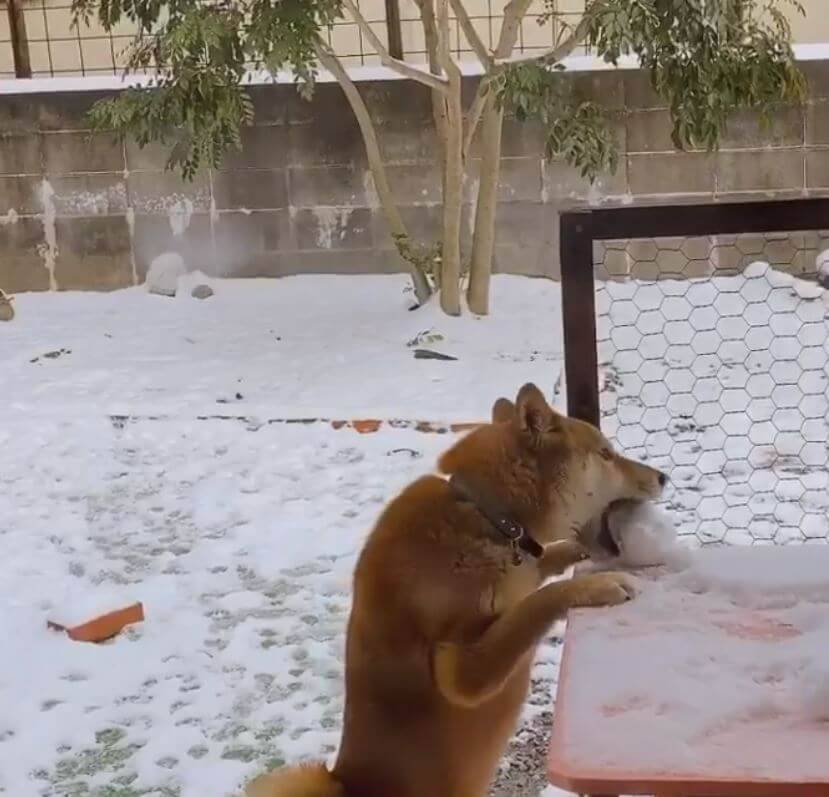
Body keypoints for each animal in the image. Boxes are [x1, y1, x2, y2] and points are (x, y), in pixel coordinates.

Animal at [247, 382, 668, 792]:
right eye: (606, 454)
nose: (664, 477)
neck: (487, 517)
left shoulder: (526, 566)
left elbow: (545, 565)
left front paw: (577, 554)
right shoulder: (461, 672)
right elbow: (535, 604)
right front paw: (600, 585)